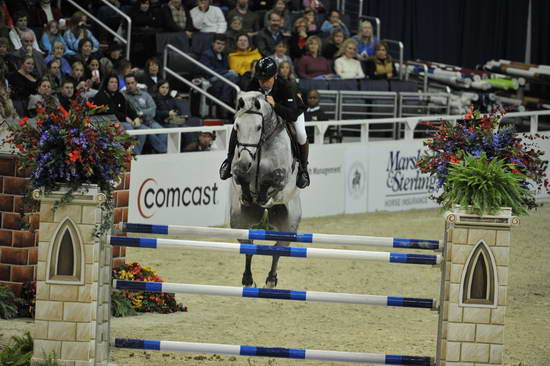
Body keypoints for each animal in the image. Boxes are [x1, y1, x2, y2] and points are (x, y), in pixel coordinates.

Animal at [231, 91, 304, 288]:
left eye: (258, 127)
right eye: (237, 126)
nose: (245, 162)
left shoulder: (282, 179)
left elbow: (272, 180)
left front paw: (264, 198)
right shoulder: (237, 171)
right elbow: (240, 176)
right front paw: (248, 196)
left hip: (289, 227)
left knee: (278, 249)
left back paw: (271, 280)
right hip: (239, 222)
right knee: (248, 246)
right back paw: (248, 280)